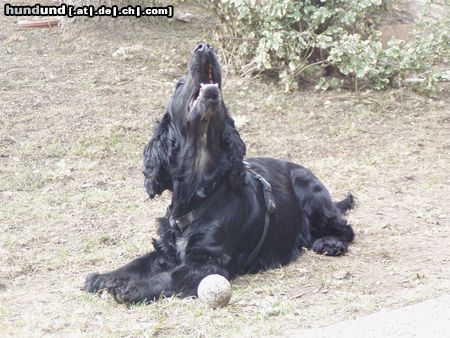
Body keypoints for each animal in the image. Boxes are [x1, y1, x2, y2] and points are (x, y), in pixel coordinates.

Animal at [82, 43, 354, 304]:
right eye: (179, 85)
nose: (204, 47)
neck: (201, 190)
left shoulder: (208, 262)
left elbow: (168, 277)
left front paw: (131, 288)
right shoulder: (167, 249)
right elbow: (137, 262)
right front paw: (104, 277)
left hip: (309, 190)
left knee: (344, 228)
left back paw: (329, 243)